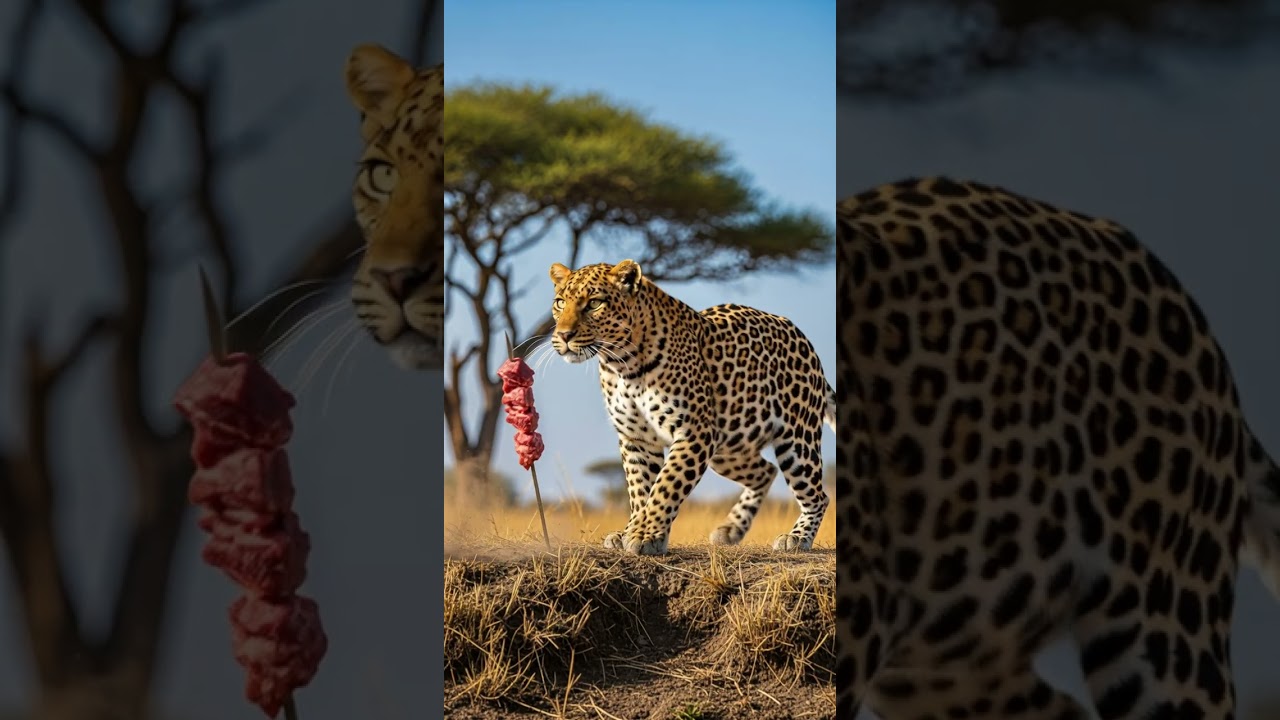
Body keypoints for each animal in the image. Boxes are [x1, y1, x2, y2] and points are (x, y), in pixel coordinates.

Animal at [548, 259, 836, 556]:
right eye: (560, 302)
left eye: (594, 304)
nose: (564, 335)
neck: (622, 364)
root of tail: (804, 342)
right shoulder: (637, 439)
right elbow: (640, 490)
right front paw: (636, 532)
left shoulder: (694, 432)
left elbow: (666, 485)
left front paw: (645, 535)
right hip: (728, 447)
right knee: (766, 471)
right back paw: (731, 529)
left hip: (797, 438)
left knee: (817, 495)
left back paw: (797, 537)